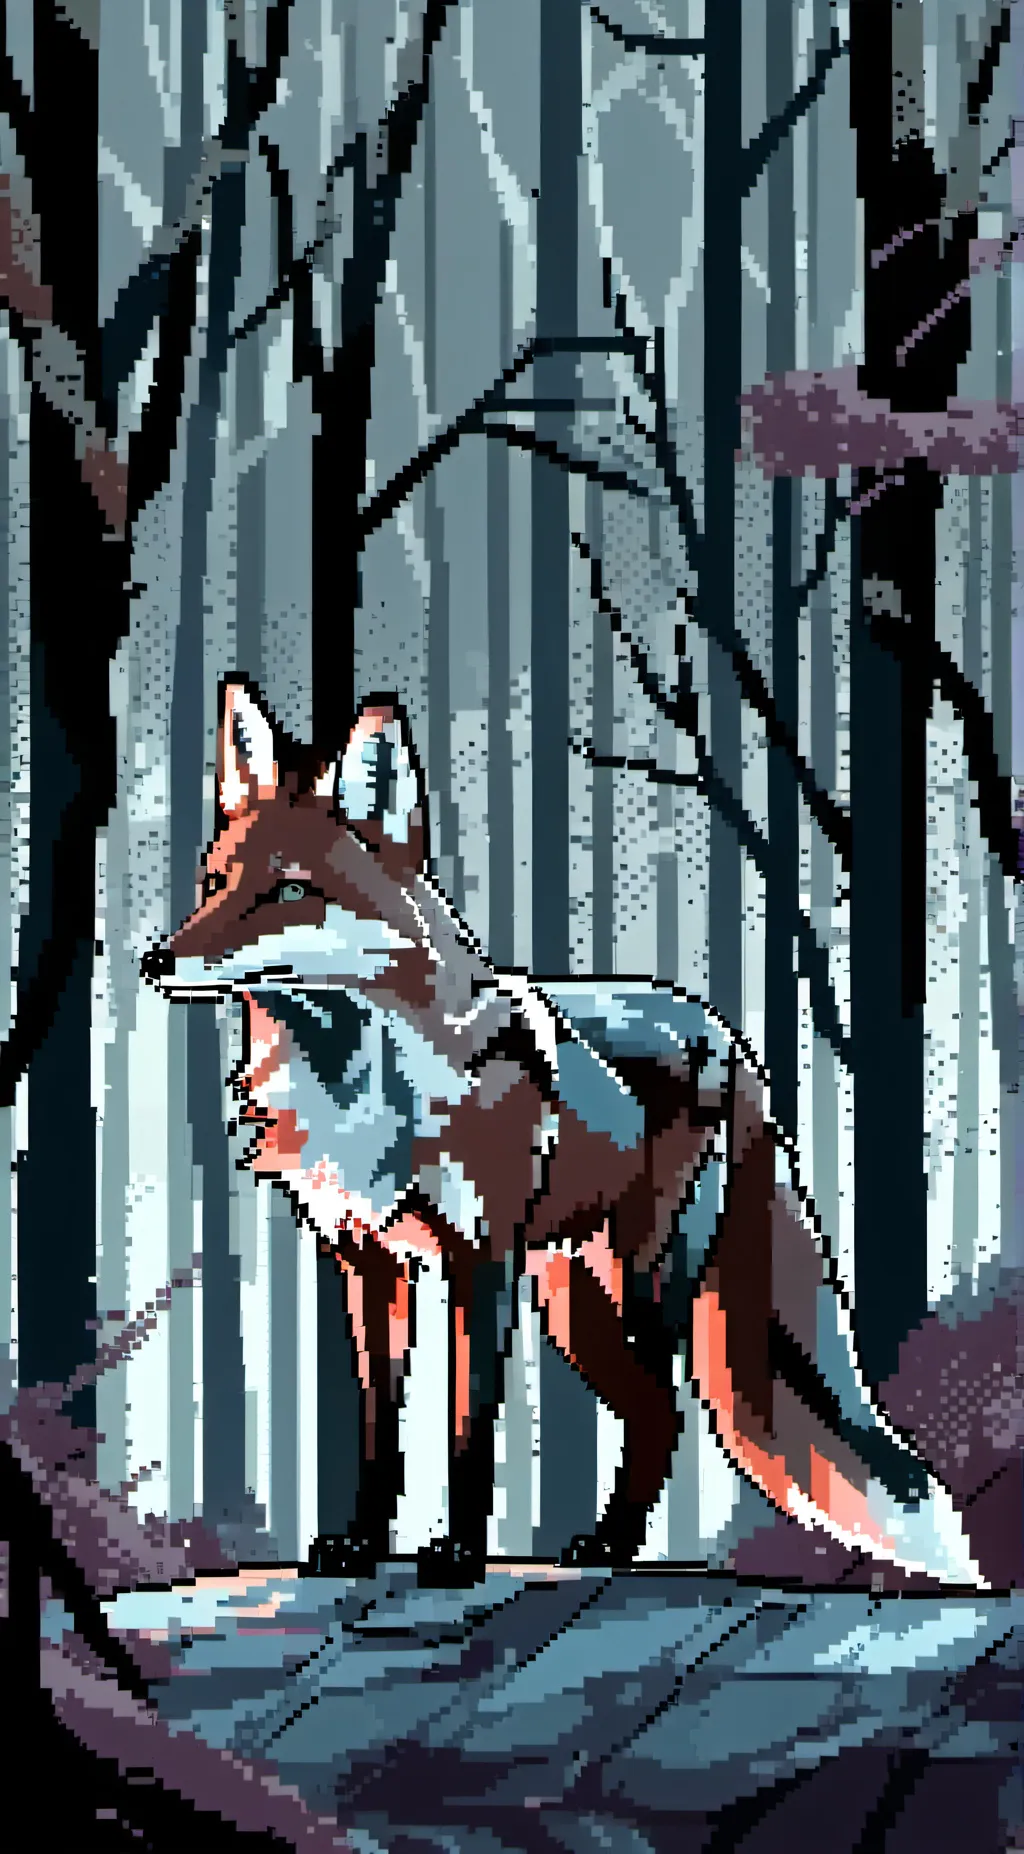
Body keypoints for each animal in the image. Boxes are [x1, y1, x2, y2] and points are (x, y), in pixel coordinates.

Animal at [141, 677, 986, 1591]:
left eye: (290, 891)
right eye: (213, 882)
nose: (154, 961)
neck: (367, 1084)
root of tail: (723, 1031)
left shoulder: (481, 1260)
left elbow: (469, 1427)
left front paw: (458, 1556)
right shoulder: (369, 1262)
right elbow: (377, 1433)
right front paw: (358, 1547)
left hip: (641, 1282)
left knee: (666, 1410)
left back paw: (611, 1547)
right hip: (573, 1302)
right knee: (655, 1412)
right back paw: (604, 1548)